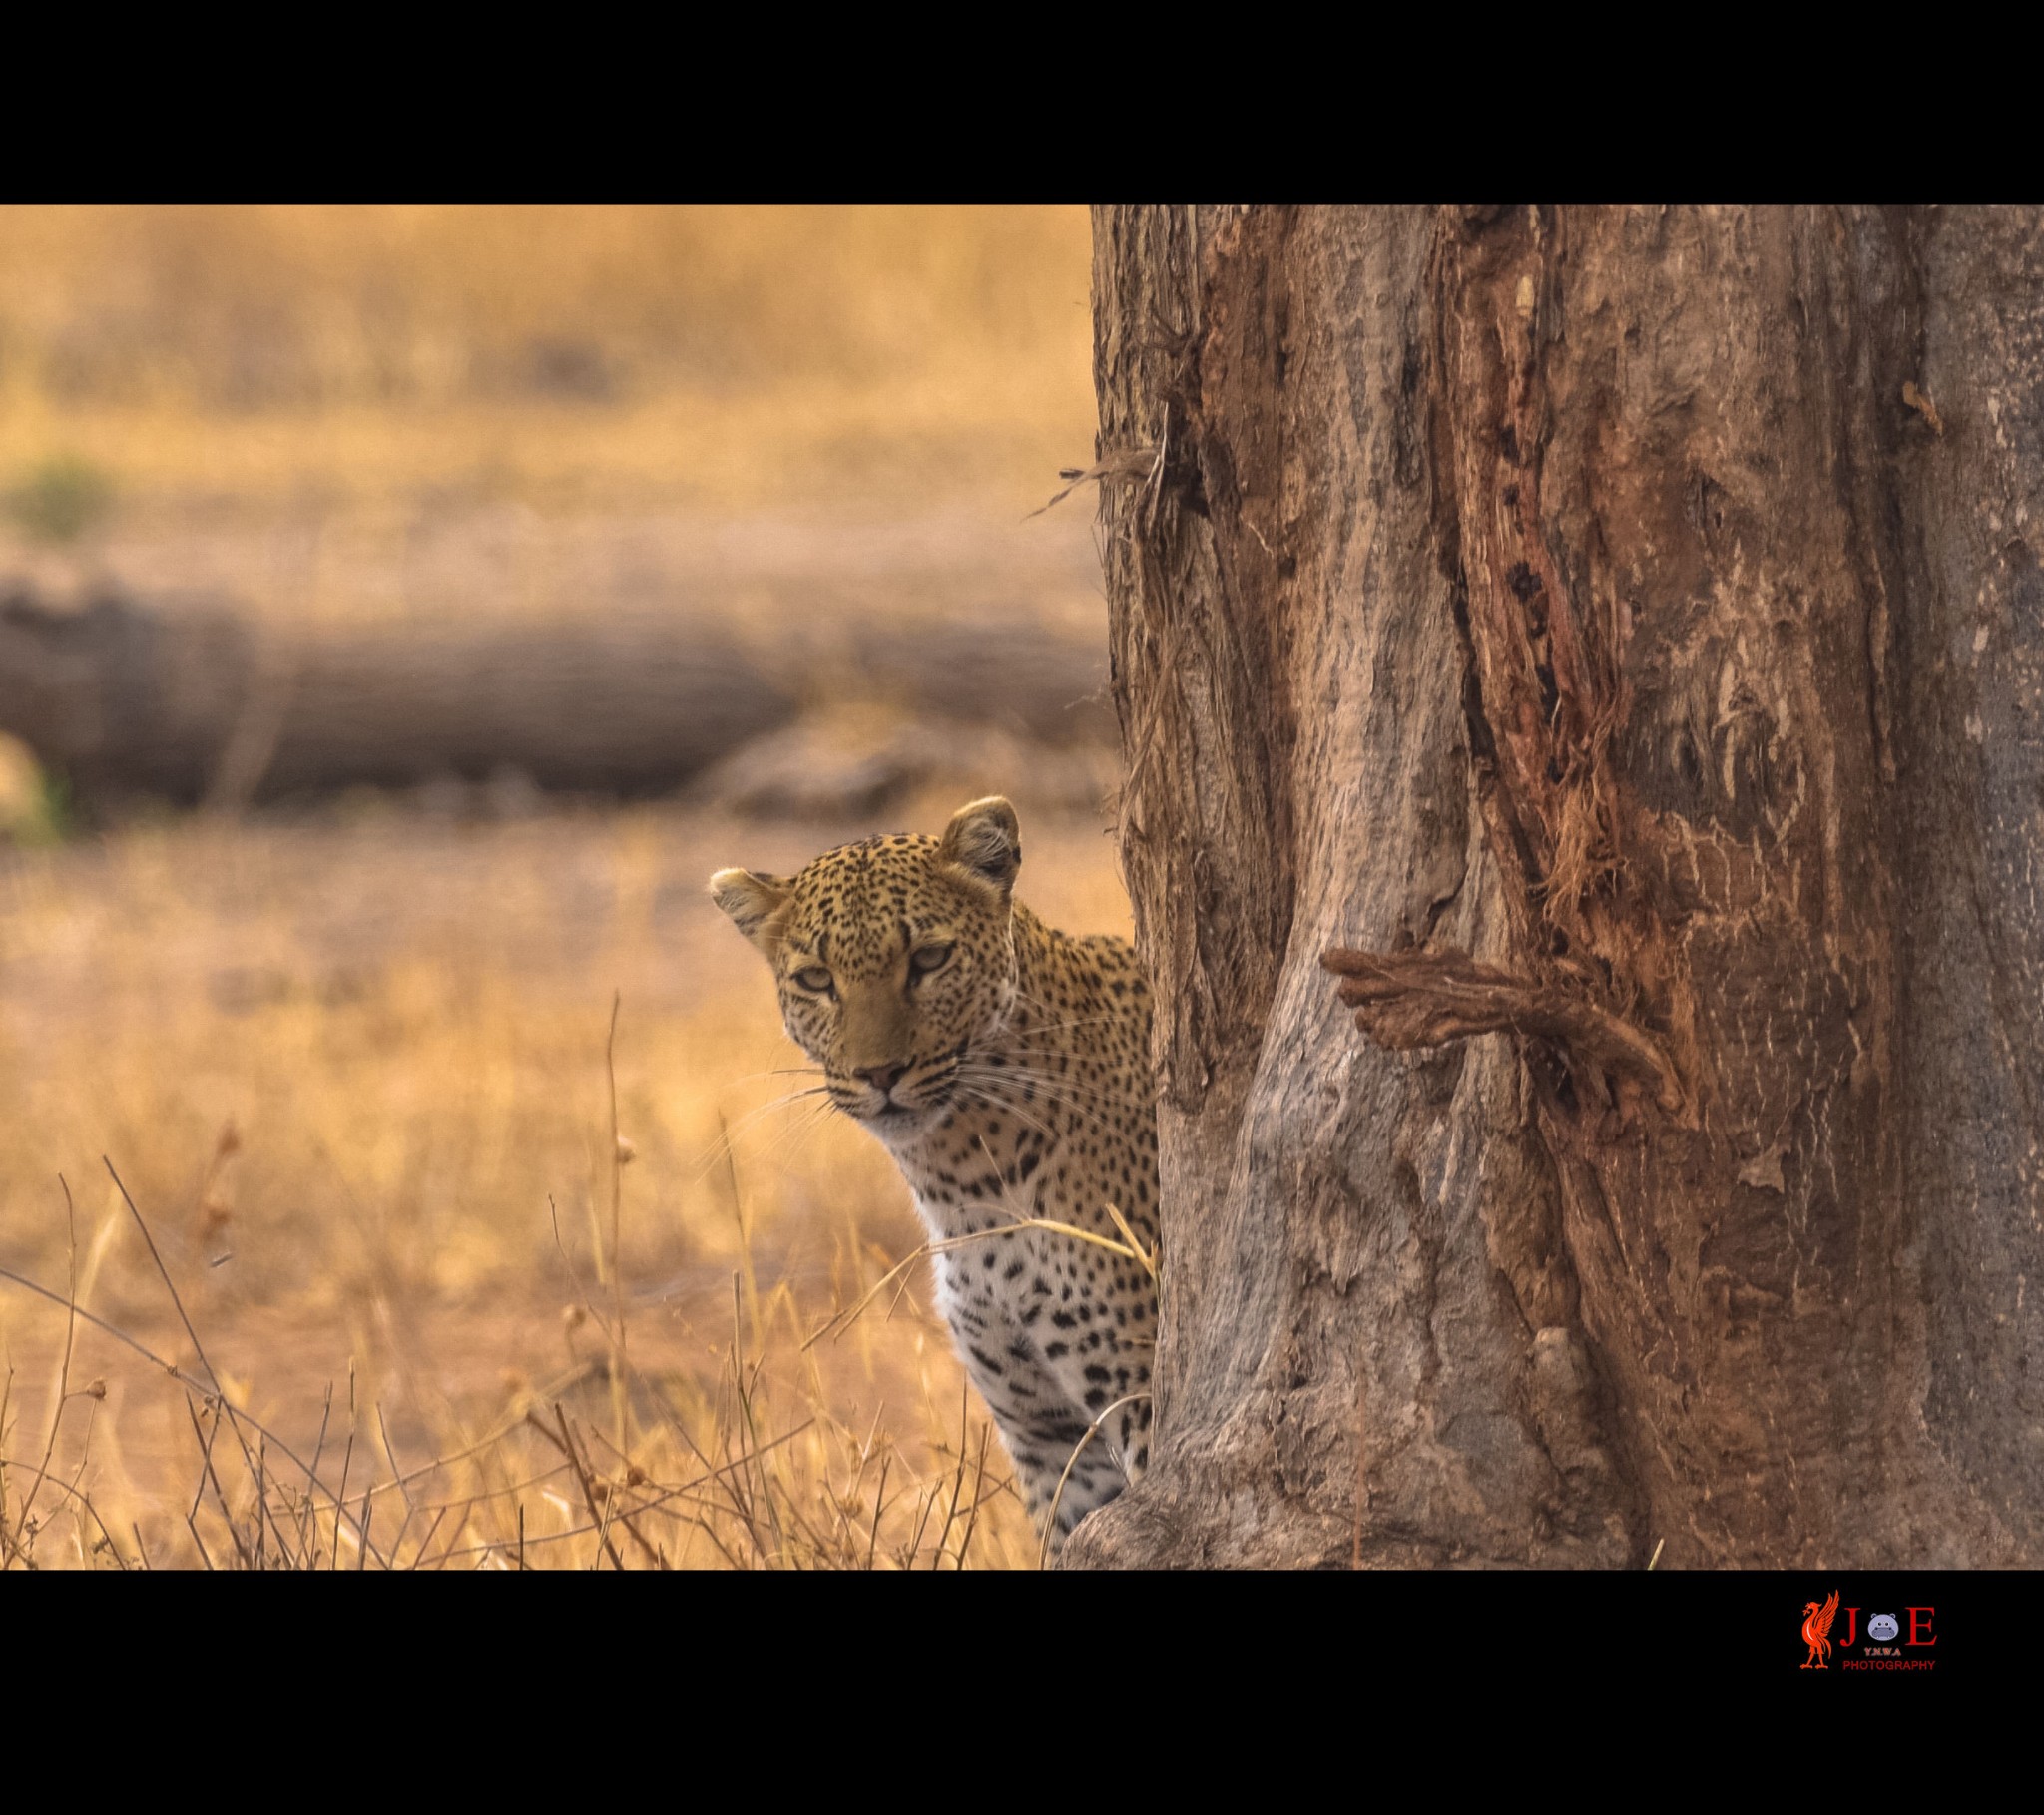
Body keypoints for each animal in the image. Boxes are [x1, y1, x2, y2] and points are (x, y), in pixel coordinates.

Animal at [707, 792, 1161, 1545]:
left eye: (930, 958)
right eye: (816, 980)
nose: (879, 1073)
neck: (964, 1187)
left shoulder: (1141, 1388)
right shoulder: (1050, 1439)